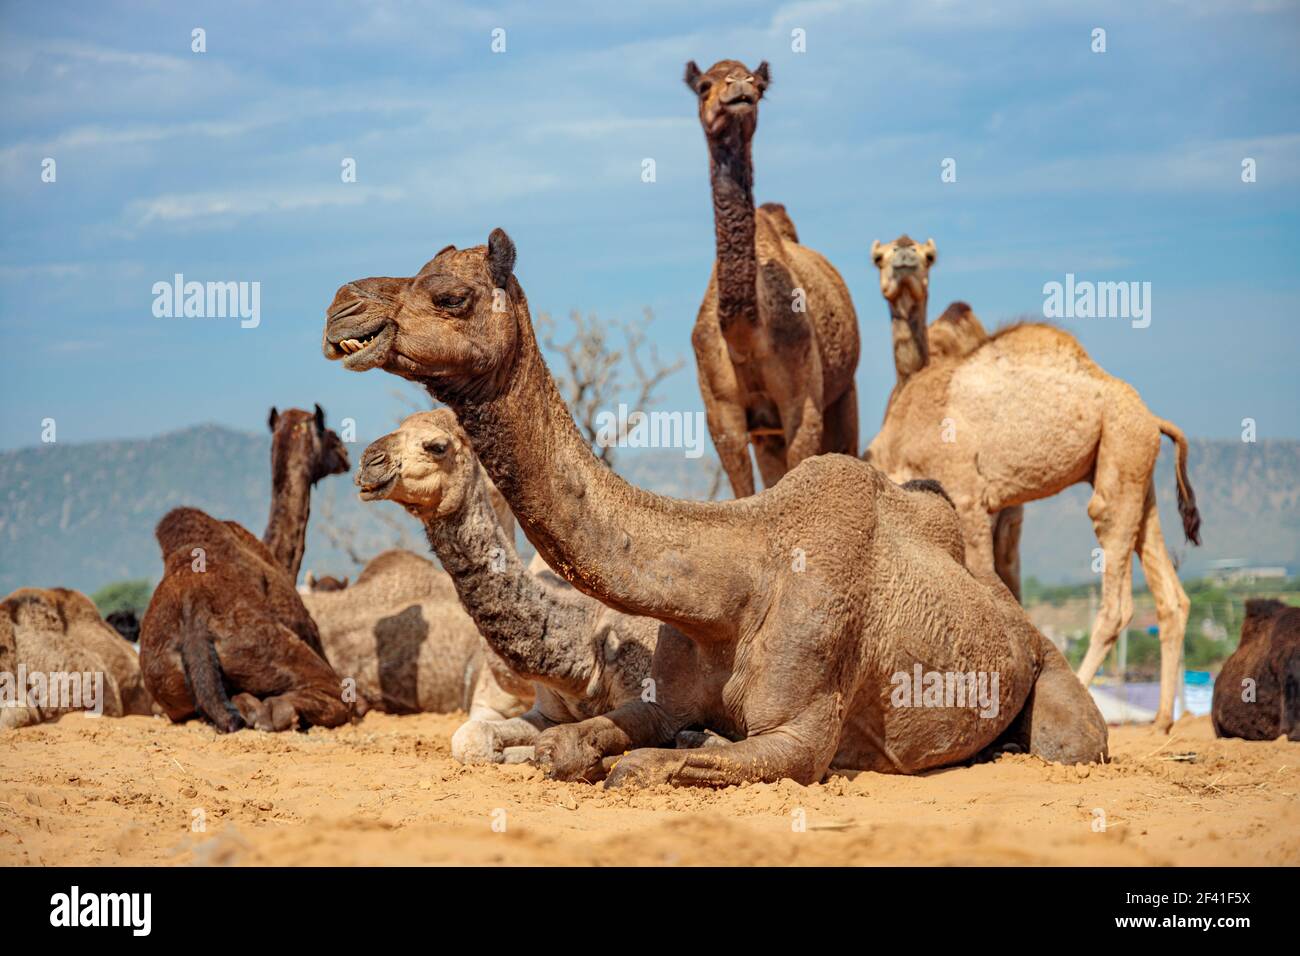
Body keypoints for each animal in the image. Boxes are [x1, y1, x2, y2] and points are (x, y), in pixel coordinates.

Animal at [685, 59, 859, 498]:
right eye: (704, 85)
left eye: (759, 85)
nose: (740, 86)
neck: (747, 334)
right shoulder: (722, 414)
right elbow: (745, 493)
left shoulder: (803, 403)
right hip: (768, 434)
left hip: (843, 394)